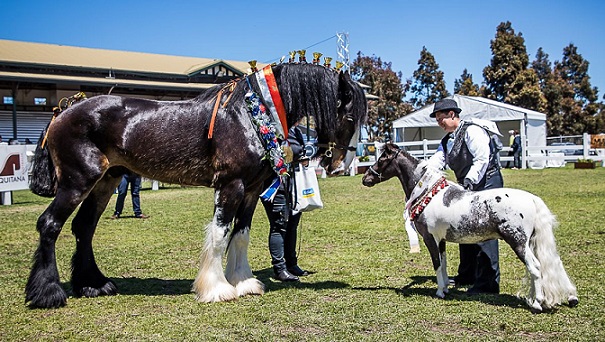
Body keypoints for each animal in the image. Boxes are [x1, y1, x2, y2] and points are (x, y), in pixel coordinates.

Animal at [27, 62, 368, 308]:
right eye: (350, 116)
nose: (342, 165)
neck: (249, 113)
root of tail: (64, 110)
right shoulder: (231, 186)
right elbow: (219, 235)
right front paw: (216, 289)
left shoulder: (251, 191)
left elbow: (240, 236)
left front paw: (243, 282)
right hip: (78, 181)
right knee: (50, 224)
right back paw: (48, 294)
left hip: (105, 182)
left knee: (84, 227)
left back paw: (93, 285)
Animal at [360, 142, 580, 312]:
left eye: (382, 159)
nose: (365, 178)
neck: (428, 193)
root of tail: (532, 198)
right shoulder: (441, 240)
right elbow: (443, 263)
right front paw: (445, 288)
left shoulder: (430, 239)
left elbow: (436, 264)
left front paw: (439, 292)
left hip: (518, 242)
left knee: (535, 267)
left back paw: (536, 303)